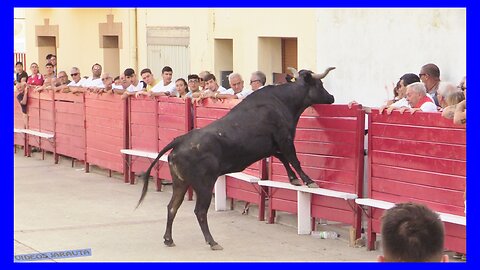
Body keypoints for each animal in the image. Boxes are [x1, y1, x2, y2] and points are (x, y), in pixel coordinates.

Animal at [137, 67, 336, 249]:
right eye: (320, 84)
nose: (332, 97)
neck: (283, 101)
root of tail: (180, 140)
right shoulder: (284, 140)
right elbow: (294, 159)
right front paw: (309, 181)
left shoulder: (272, 146)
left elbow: (284, 159)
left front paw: (293, 179)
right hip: (204, 184)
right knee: (199, 211)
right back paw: (212, 241)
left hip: (180, 183)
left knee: (172, 207)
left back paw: (168, 239)